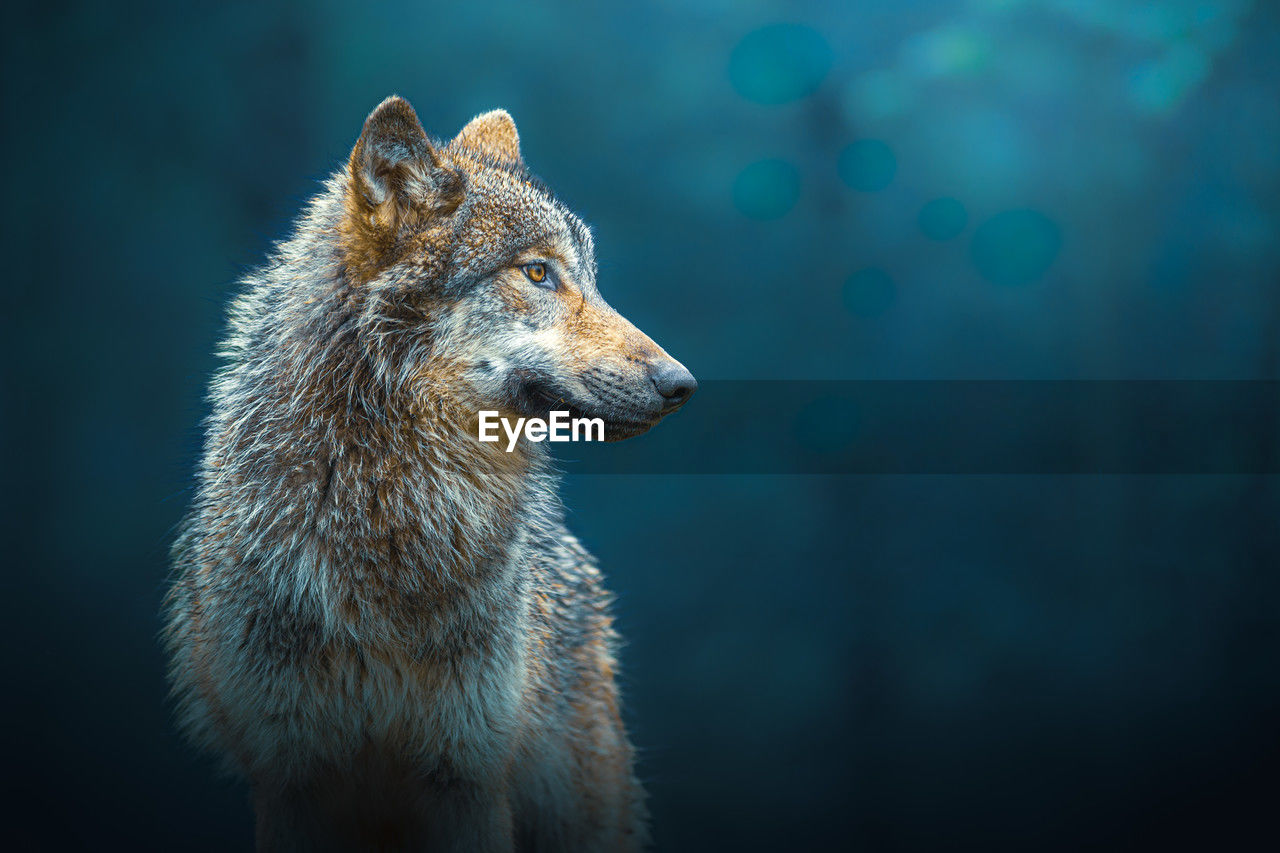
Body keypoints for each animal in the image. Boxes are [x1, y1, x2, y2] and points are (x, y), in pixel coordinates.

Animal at [165, 96, 696, 845]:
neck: (391, 516)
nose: (682, 384)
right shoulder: (291, 774)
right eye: (538, 273)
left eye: (590, 278)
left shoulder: (465, 770)